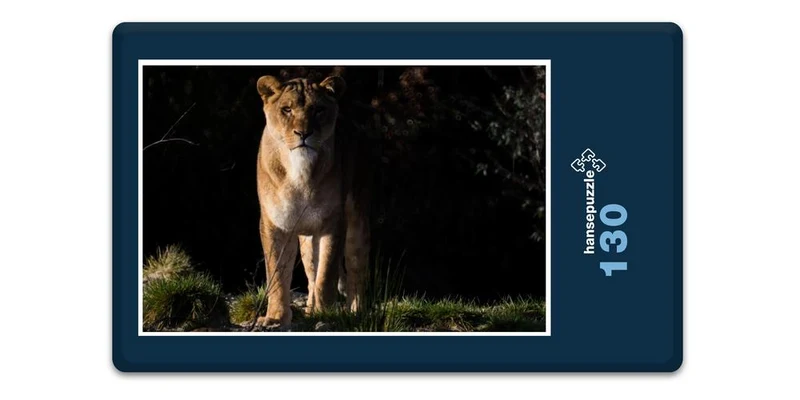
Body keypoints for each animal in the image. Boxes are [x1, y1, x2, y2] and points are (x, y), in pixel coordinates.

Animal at [254, 74, 370, 328]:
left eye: (318, 110)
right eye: (286, 109)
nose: (303, 133)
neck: (298, 170)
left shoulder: (332, 224)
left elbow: (326, 275)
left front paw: (325, 315)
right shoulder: (275, 224)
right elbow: (277, 275)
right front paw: (276, 317)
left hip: (357, 219)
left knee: (356, 268)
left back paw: (356, 312)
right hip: (307, 238)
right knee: (310, 273)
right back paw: (308, 310)